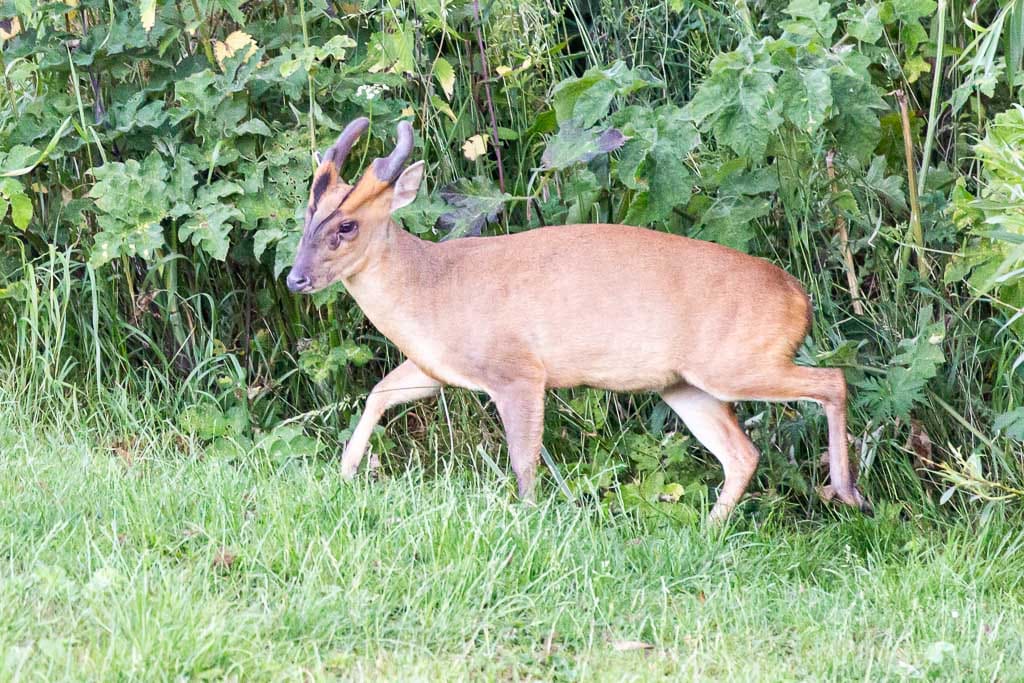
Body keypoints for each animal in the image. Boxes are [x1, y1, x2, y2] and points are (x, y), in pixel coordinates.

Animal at [288, 117, 872, 524]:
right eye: (307, 214)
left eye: (346, 225)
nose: (296, 279)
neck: (432, 289)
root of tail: (799, 298)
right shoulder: (437, 369)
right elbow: (378, 393)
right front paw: (342, 476)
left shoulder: (518, 371)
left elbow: (524, 460)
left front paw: (527, 517)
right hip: (686, 385)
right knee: (742, 454)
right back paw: (708, 530)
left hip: (737, 361)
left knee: (832, 380)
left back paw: (848, 493)